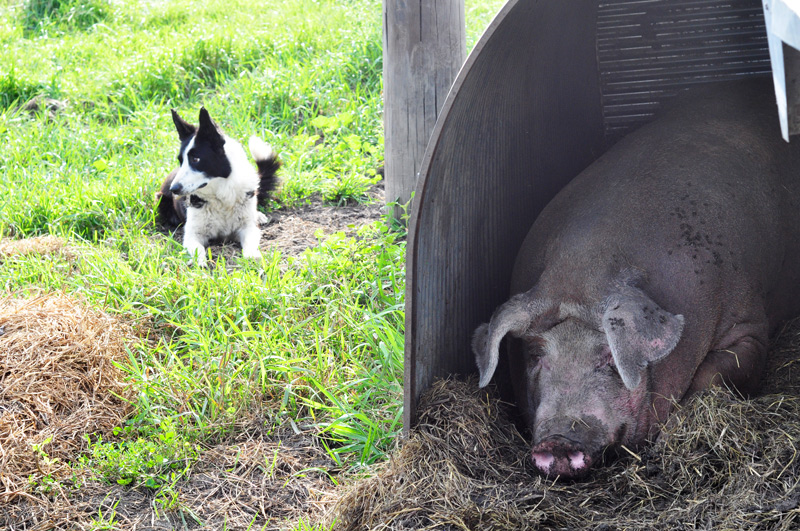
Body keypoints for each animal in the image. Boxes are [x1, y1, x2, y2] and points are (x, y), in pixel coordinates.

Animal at [472, 78, 800, 479]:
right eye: (536, 356)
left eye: (608, 359)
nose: (557, 441)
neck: (582, 271)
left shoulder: (748, 322)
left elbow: (716, 375)